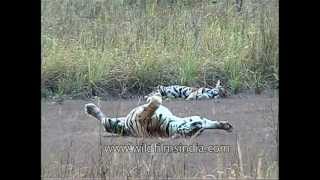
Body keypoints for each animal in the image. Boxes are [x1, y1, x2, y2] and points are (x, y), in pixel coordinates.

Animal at [84, 95, 231, 138]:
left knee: (104, 121)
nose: (198, 126)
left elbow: (152, 105)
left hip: (113, 123)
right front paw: (225, 125)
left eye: (193, 132)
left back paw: (90, 108)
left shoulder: (141, 120)